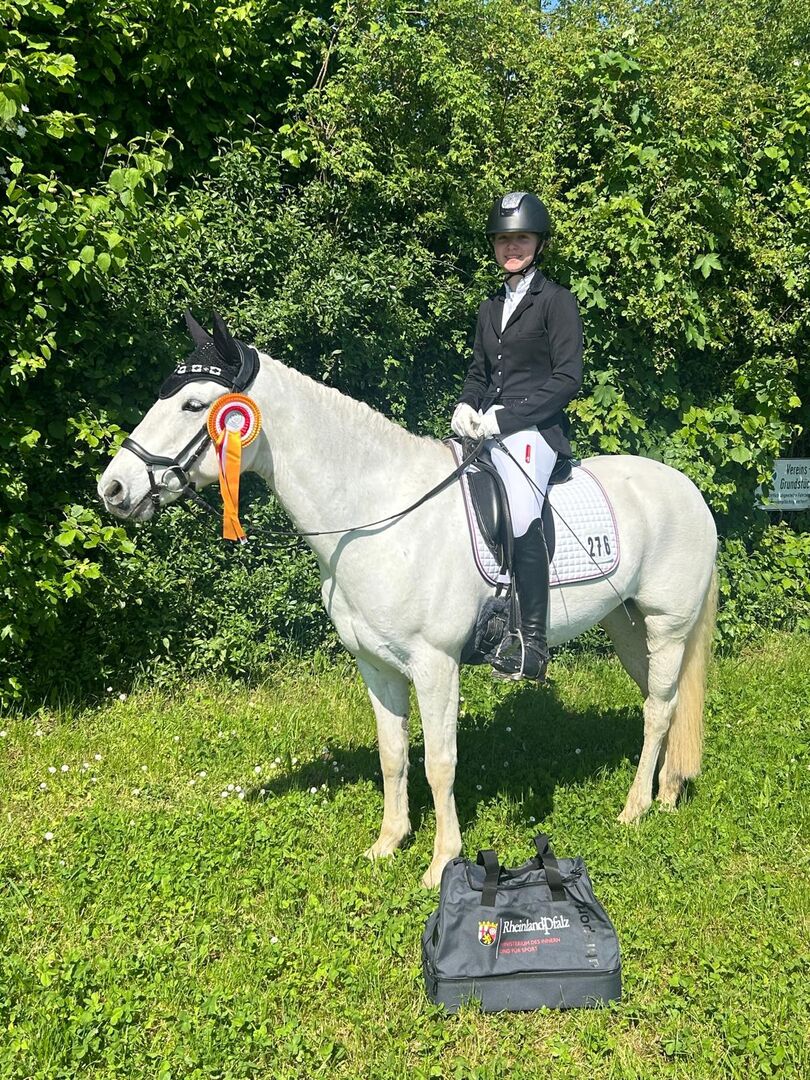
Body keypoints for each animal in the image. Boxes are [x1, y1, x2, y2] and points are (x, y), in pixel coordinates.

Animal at [98, 315, 718, 887]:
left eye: (193, 404)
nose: (114, 489)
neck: (377, 514)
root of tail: (688, 489)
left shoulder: (435, 663)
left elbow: (439, 762)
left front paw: (442, 863)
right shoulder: (376, 664)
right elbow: (393, 753)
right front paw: (388, 843)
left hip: (666, 625)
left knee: (658, 709)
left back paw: (635, 809)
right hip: (625, 625)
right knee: (661, 702)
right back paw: (667, 793)